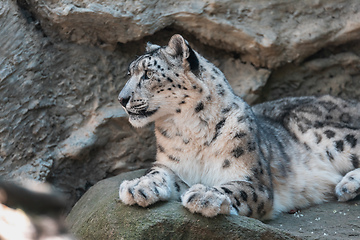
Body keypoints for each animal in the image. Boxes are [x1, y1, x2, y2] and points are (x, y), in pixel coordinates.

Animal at [117, 33, 360, 219]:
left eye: (148, 74)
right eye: (129, 73)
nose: (121, 98)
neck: (188, 130)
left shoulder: (254, 181)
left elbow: (236, 188)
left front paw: (205, 195)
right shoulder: (171, 166)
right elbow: (158, 173)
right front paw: (138, 186)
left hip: (321, 133)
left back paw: (347, 184)